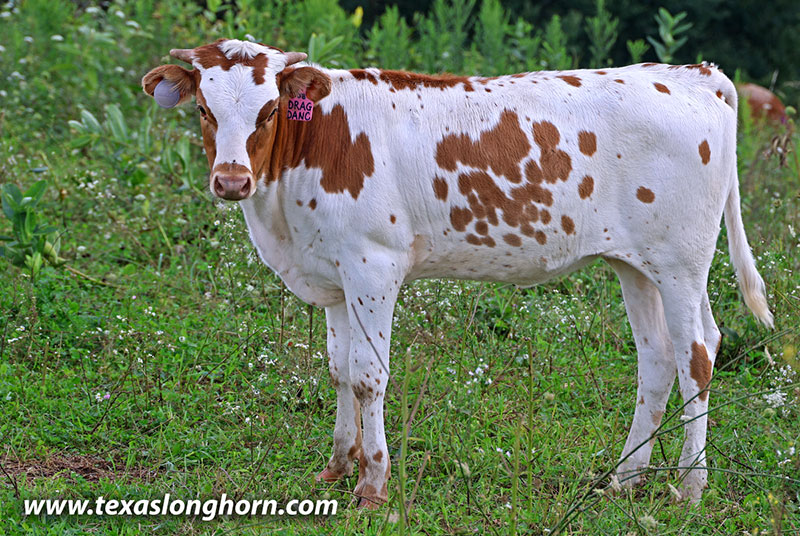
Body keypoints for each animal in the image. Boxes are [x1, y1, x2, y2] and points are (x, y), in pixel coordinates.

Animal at [142, 39, 773, 507]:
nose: (231, 180)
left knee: (697, 355)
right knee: (659, 359)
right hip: (637, 265)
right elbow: (340, 370)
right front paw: (337, 466)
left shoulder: (373, 266)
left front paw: (373, 486)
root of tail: (694, 74)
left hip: (681, 263)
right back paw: (623, 479)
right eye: (204, 110)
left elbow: (369, 376)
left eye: (269, 110)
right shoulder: (335, 275)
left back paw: (689, 488)